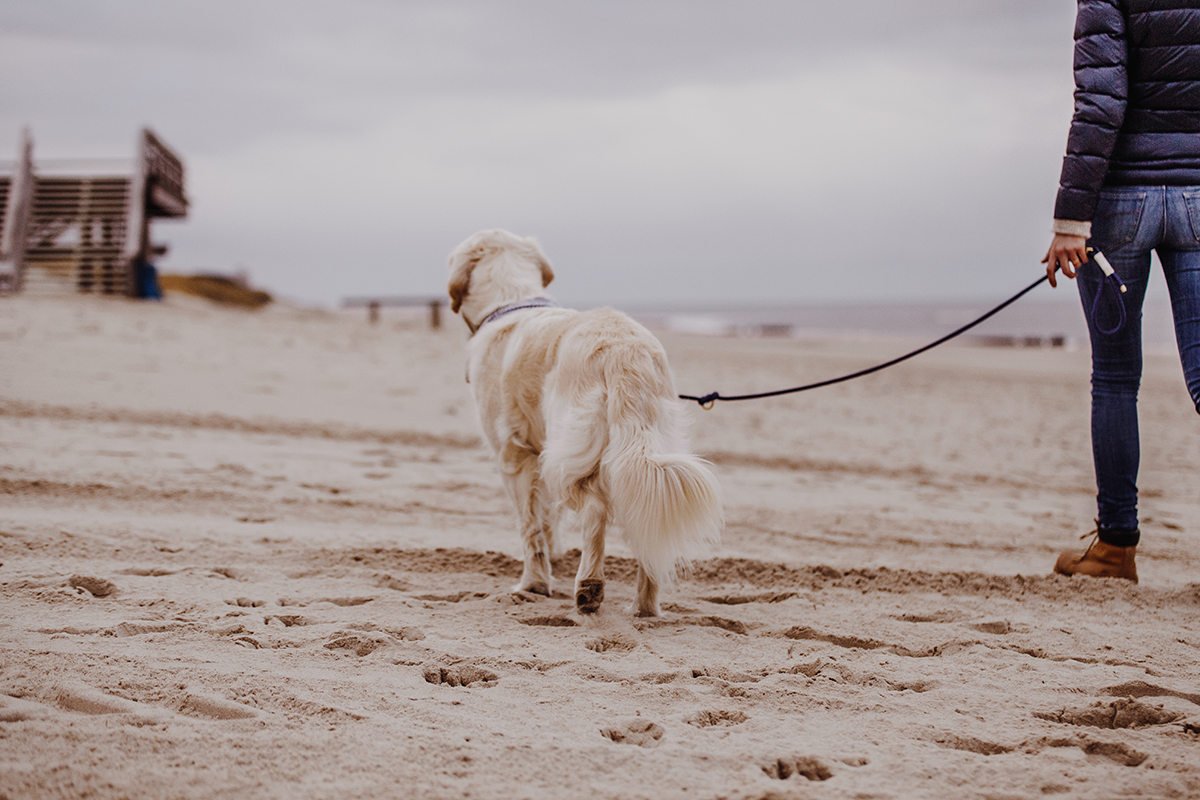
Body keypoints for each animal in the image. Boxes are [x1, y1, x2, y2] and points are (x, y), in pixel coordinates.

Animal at [448, 227, 720, 618]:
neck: (512, 300)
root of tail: (622, 350)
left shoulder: (514, 456)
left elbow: (530, 527)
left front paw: (533, 584)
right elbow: (547, 520)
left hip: (568, 453)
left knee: (595, 509)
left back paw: (589, 588)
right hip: (646, 452)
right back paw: (644, 605)